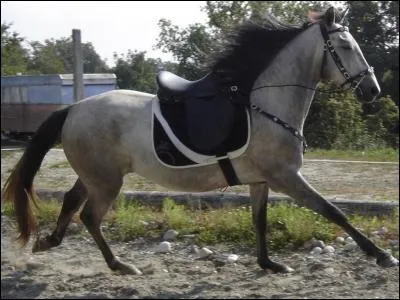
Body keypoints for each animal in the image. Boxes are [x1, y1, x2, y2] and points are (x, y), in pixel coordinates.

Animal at [1, 7, 398, 274]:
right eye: (344, 46)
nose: (372, 90)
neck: (263, 103)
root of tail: (74, 108)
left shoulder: (261, 180)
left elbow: (260, 221)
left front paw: (269, 264)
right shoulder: (286, 177)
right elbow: (333, 211)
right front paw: (381, 255)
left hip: (97, 175)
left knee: (72, 202)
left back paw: (48, 241)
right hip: (106, 181)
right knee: (89, 215)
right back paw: (119, 265)